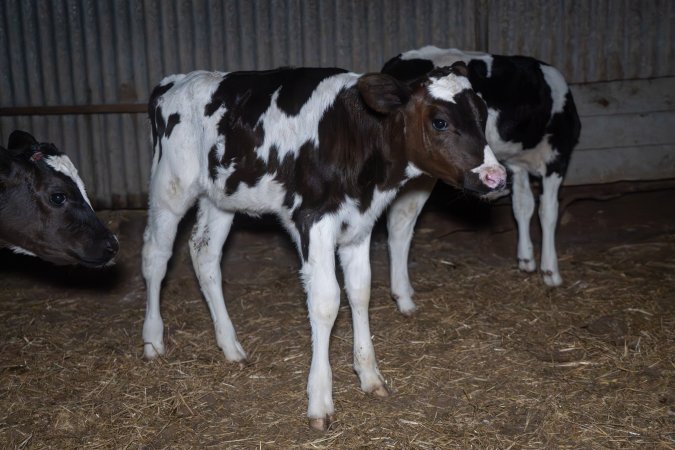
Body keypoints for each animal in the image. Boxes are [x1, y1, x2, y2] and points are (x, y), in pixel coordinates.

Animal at [142, 64, 507, 430]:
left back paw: (230, 346)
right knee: (155, 257)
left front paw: (369, 376)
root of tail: (175, 81)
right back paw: (153, 340)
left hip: (221, 197)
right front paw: (319, 400)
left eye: (482, 113)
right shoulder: (312, 220)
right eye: (439, 121)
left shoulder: (359, 225)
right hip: (170, 187)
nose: (496, 177)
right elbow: (326, 302)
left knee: (204, 253)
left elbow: (360, 291)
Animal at [381, 46, 582, 315]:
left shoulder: (516, 164)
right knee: (401, 223)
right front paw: (551, 271)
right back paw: (404, 298)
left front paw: (526, 259)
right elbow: (548, 212)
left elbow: (523, 206)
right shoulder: (557, 156)